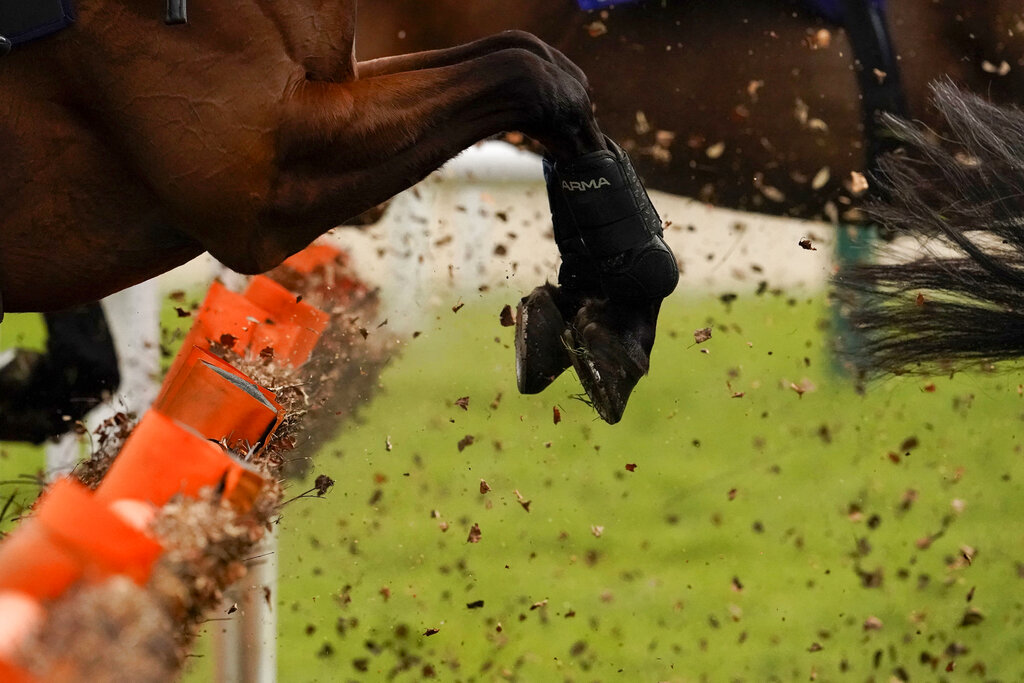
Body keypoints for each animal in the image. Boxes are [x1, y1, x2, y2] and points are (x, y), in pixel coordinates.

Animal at [0, 1, 680, 424]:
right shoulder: (264, 186)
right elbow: (535, 79)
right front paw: (627, 304)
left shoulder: (332, 91)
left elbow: (537, 59)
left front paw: (609, 306)